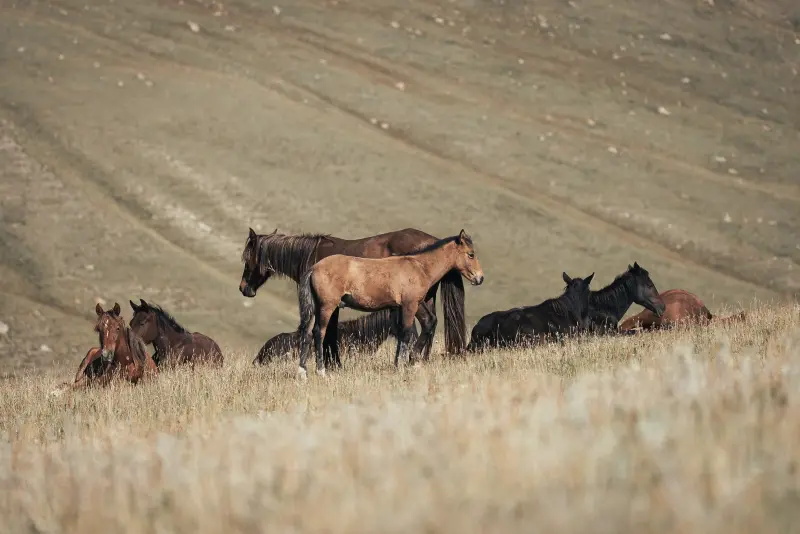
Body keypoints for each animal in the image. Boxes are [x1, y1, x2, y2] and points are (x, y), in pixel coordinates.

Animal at [295, 230, 484, 378]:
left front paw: (408, 362)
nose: (480, 278)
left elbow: (423, 325)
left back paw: (302, 372)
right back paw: (321, 371)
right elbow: (407, 333)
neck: (419, 267)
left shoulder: (413, 304)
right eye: (471, 254)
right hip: (326, 307)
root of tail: (314, 268)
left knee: (307, 333)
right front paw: (405, 364)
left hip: (315, 308)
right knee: (319, 332)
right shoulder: (410, 304)